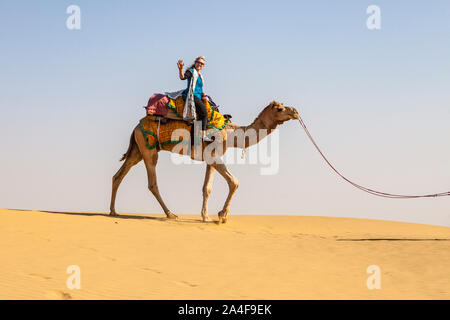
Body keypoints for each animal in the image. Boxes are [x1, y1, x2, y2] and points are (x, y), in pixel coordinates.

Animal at [109, 100, 298, 222]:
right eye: (280, 108)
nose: (295, 111)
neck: (230, 134)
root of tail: (135, 127)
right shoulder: (213, 155)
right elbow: (234, 182)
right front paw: (221, 216)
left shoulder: (210, 158)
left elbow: (207, 188)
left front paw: (206, 216)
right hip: (149, 150)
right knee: (152, 183)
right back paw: (171, 214)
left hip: (138, 149)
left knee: (118, 175)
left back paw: (113, 211)